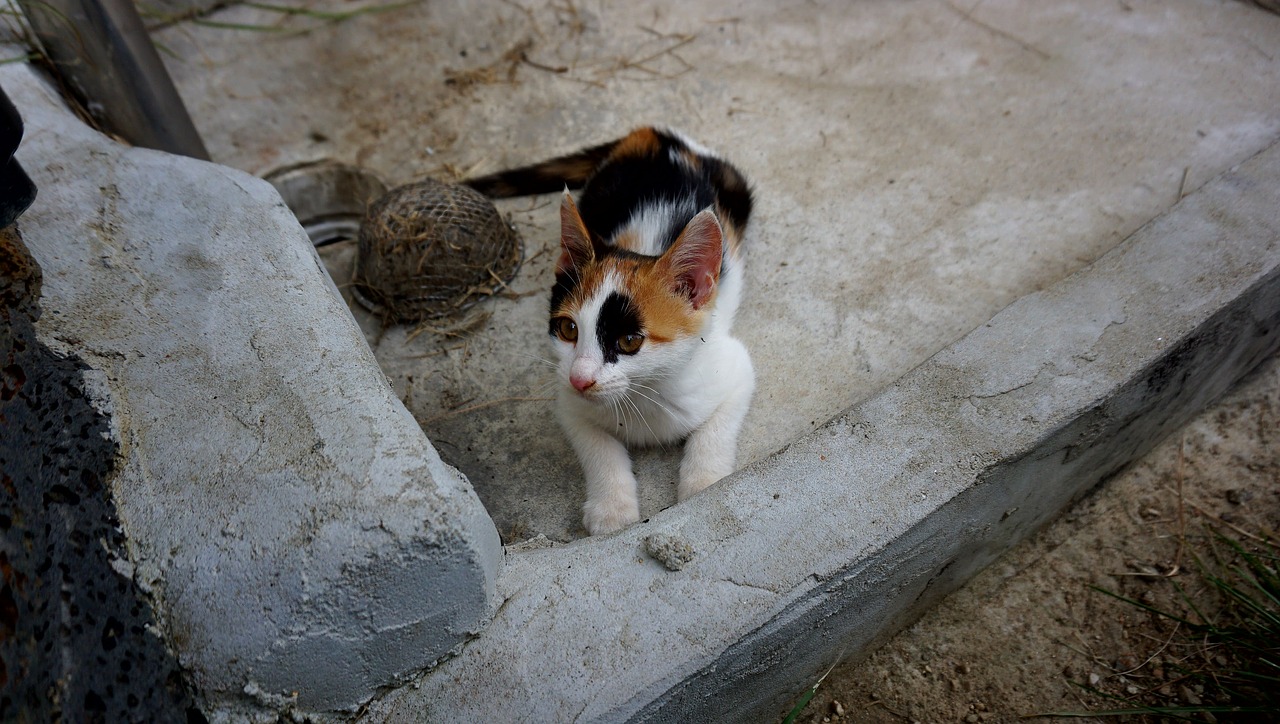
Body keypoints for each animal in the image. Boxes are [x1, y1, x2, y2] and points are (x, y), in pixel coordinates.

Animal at [468, 127, 747, 537]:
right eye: (568, 329)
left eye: (629, 341)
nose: (580, 379)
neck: (643, 394)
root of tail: (654, 134)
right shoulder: (567, 398)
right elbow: (598, 446)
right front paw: (612, 509)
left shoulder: (733, 367)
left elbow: (716, 428)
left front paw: (704, 485)